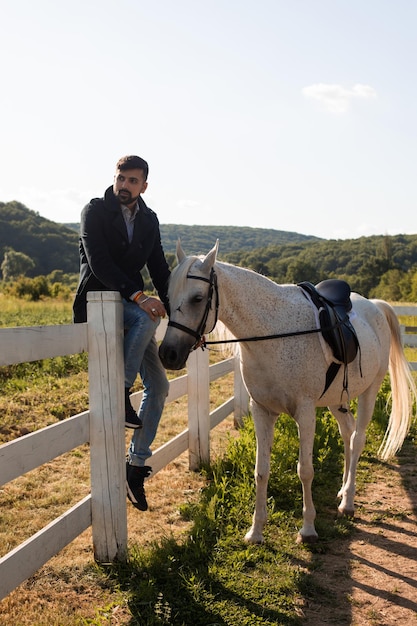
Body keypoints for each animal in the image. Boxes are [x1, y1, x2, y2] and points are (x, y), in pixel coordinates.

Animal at [158, 239, 414, 540]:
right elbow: (261, 471)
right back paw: (342, 491)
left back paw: (348, 502)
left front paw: (308, 528)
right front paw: (256, 531)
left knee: (358, 438)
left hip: (369, 392)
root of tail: (374, 306)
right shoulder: (262, 411)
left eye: (198, 298)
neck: (272, 333)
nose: (168, 354)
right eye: (168, 296)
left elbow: (305, 470)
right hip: (336, 401)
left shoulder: (305, 413)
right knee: (348, 435)